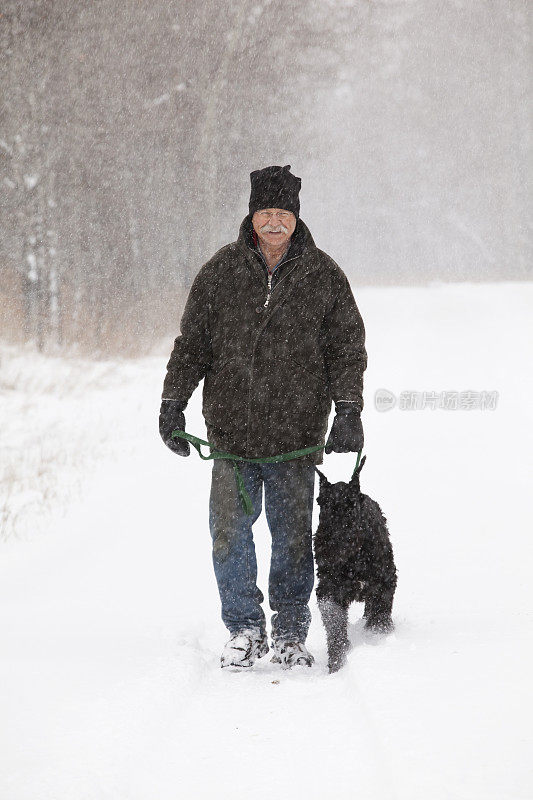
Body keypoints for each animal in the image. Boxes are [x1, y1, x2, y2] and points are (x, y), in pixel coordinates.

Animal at [314, 454, 396, 672]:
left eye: (350, 507)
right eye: (323, 505)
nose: (329, 545)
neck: (354, 559)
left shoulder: (385, 581)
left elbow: (380, 613)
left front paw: (376, 635)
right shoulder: (330, 589)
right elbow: (334, 623)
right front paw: (337, 659)